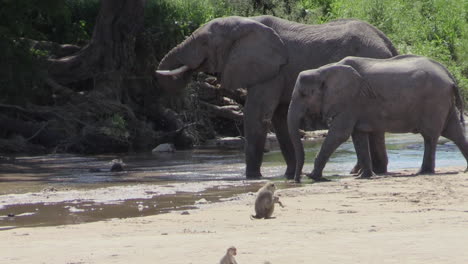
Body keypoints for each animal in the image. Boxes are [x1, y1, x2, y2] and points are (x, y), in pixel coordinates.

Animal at [155, 14, 396, 179]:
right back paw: (364, 171)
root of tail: (387, 42)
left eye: (205, 42)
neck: (246, 23)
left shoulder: (271, 72)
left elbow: (257, 114)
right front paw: (289, 175)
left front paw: (252, 177)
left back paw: (370, 171)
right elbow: (279, 118)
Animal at [288, 54, 468, 183]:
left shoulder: (349, 100)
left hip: (434, 101)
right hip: (442, 101)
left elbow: (339, 134)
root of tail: (449, 76)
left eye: (303, 94)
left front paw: (313, 176)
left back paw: (423, 172)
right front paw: (365, 176)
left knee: (431, 136)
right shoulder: (354, 106)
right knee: (454, 133)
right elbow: (357, 136)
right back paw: (464, 170)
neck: (323, 70)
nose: (297, 180)